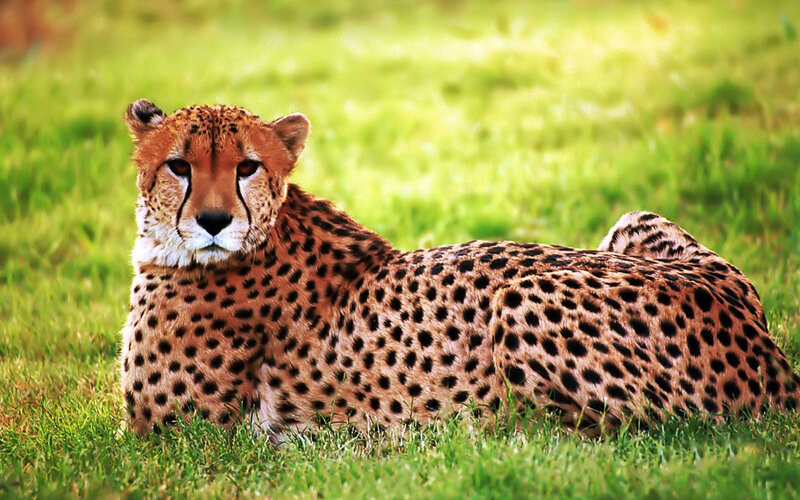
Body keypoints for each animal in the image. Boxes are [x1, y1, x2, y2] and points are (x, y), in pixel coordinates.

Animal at [120, 99, 800, 438]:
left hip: (523, 295)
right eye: (179, 165)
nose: (213, 221)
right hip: (634, 222)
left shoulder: (173, 437)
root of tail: (769, 356)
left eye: (248, 166)